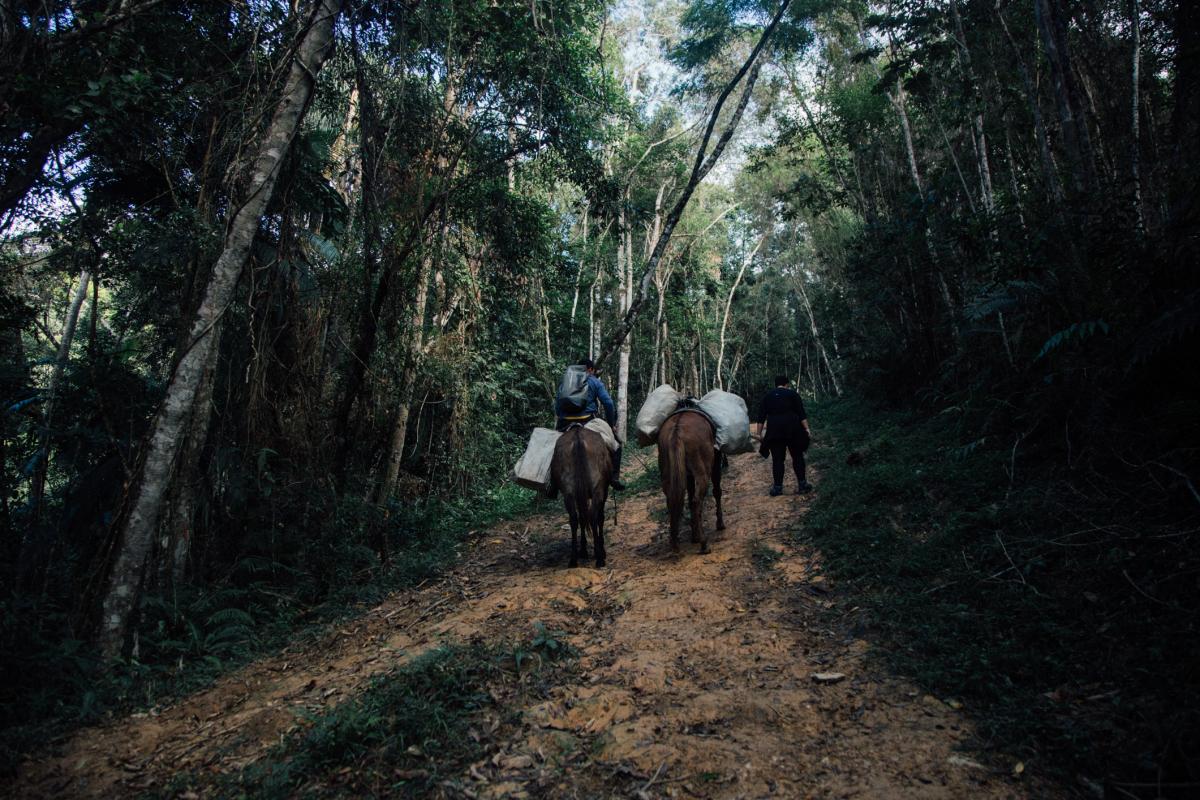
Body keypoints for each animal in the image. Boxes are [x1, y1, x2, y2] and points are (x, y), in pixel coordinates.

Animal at [549, 424, 609, 568]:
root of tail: (578, 437)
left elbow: (582, 518)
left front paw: (583, 550)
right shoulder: (604, 489)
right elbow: (600, 518)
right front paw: (600, 550)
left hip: (569, 493)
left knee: (574, 519)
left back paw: (573, 559)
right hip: (598, 489)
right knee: (594, 516)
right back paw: (599, 558)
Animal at [657, 410, 720, 554]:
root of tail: (677, 430)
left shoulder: (688, 475)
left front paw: (694, 536)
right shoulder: (717, 459)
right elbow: (717, 492)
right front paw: (720, 525)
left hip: (667, 472)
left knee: (672, 501)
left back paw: (675, 543)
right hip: (703, 472)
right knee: (697, 501)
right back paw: (704, 544)